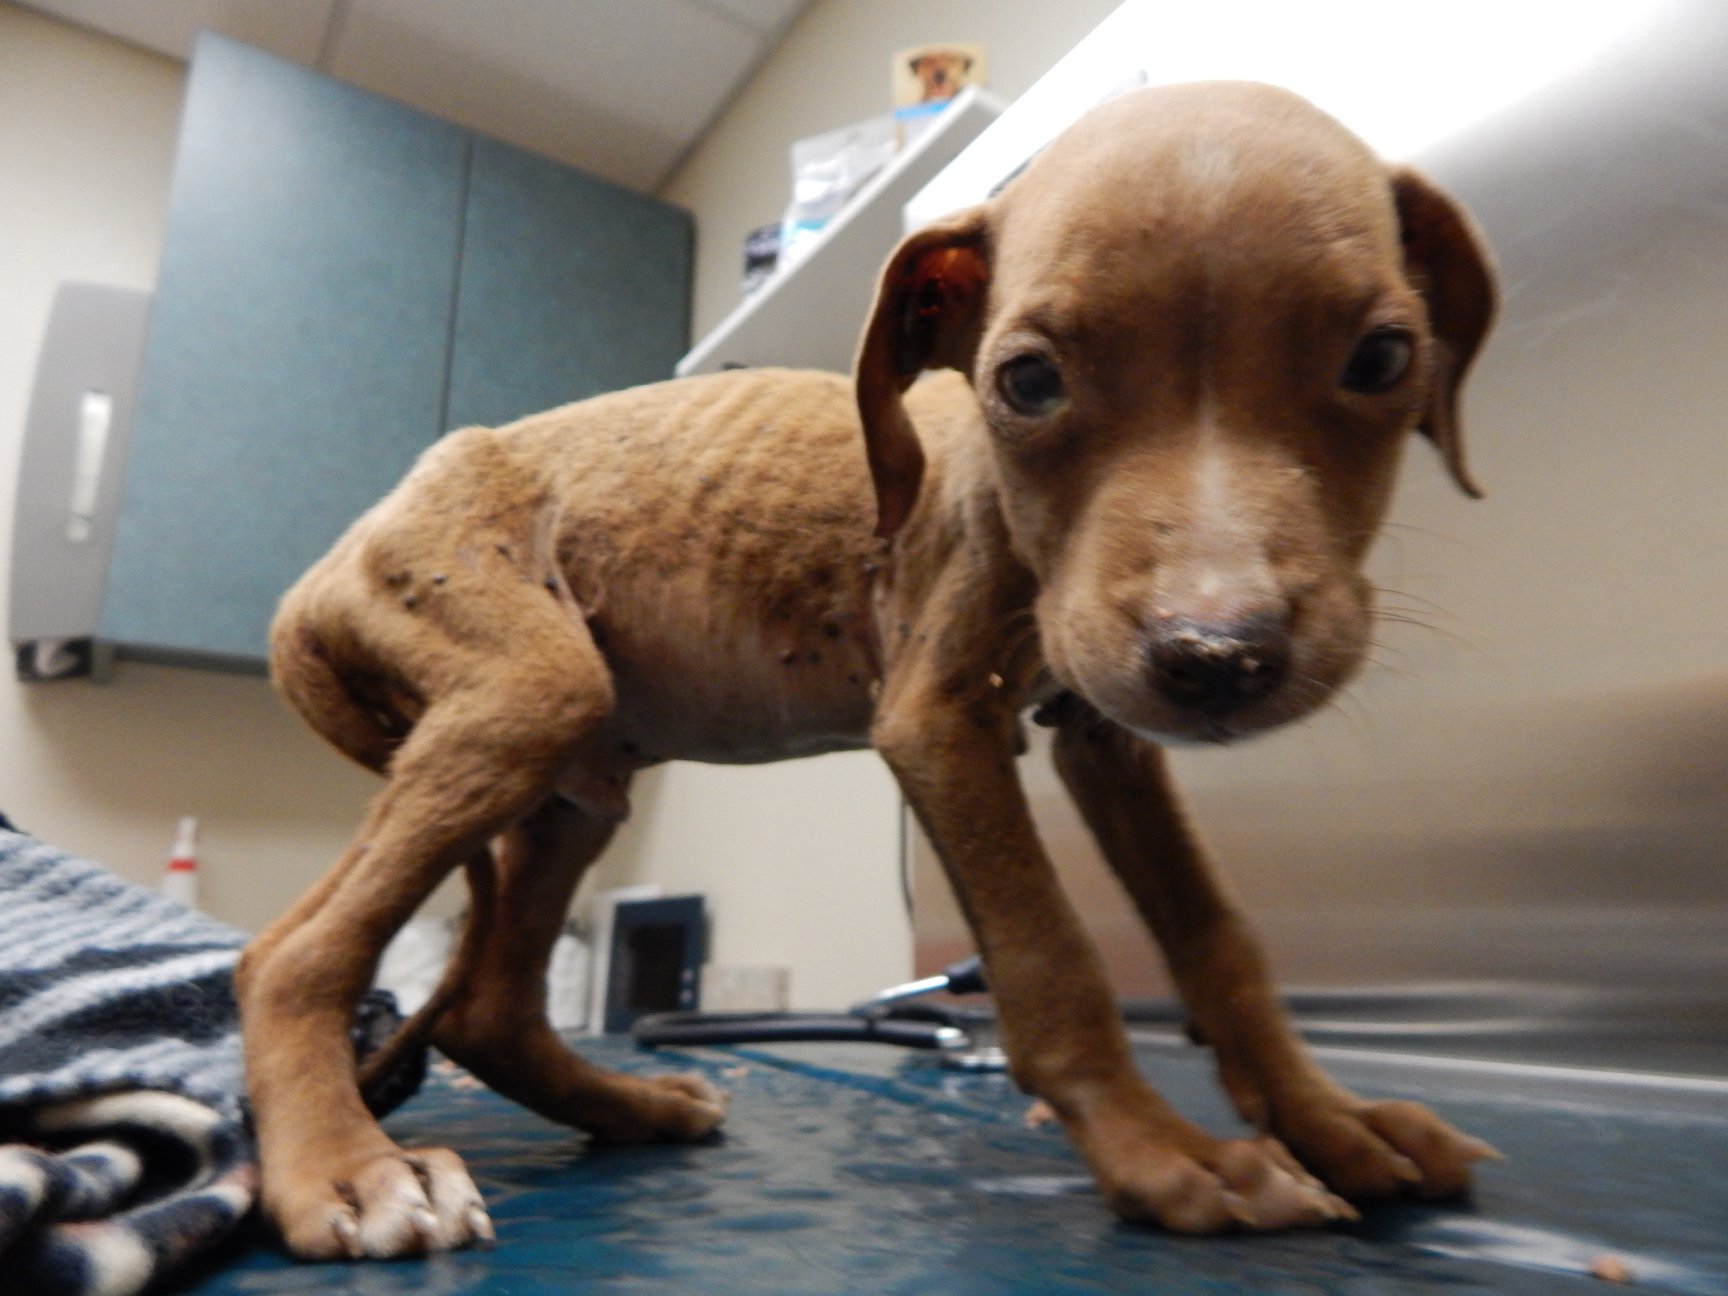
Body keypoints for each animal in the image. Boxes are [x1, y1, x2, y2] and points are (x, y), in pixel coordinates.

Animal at [240, 81, 1499, 1257]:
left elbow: (1219, 939)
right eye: (1026, 381)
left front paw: (1329, 1124)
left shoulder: (1110, 739)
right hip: (527, 695)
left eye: (1385, 357)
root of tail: (317, 577)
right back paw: (353, 1173)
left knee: (491, 1010)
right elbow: (1052, 955)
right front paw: (1168, 1156)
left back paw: (632, 1108)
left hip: (575, 780)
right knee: (291, 955)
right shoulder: (939, 720)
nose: (1218, 656)